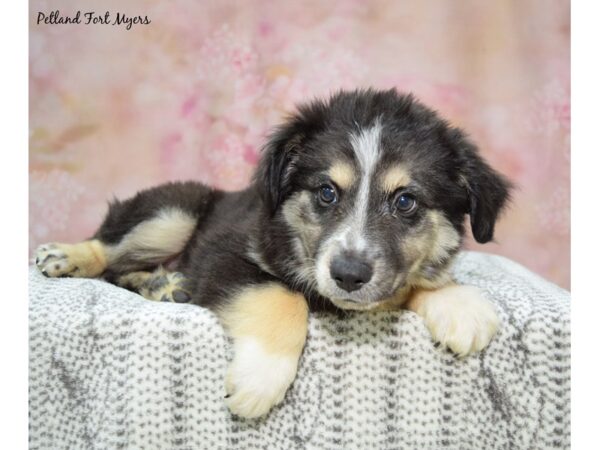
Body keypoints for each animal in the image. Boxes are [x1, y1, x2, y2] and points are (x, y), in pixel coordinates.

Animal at [34, 88, 510, 418]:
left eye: (406, 201)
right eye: (326, 192)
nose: (348, 274)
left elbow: (407, 283)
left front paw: (458, 303)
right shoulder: (223, 254)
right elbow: (280, 296)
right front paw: (258, 381)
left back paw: (162, 285)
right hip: (174, 212)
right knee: (109, 251)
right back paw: (68, 256)